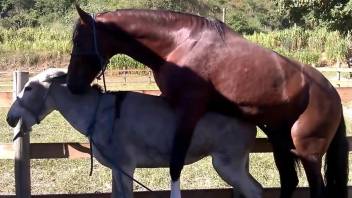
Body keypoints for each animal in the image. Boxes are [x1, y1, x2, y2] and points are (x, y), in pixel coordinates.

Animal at [6, 69, 262, 197]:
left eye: (28, 88)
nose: (9, 119)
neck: (99, 113)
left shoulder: (125, 166)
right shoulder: (117, 169)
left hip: (226, 163)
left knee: (254, 191)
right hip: (236, 164)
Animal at [66, 5, 350, 197]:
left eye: (79, 41)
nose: (72, 84)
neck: (179, 43)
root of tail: (332, 94)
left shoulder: (189, 109)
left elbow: (176, 163)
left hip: (308, 152)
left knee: (316, 188)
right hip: (281, 143)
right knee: (289, 180)